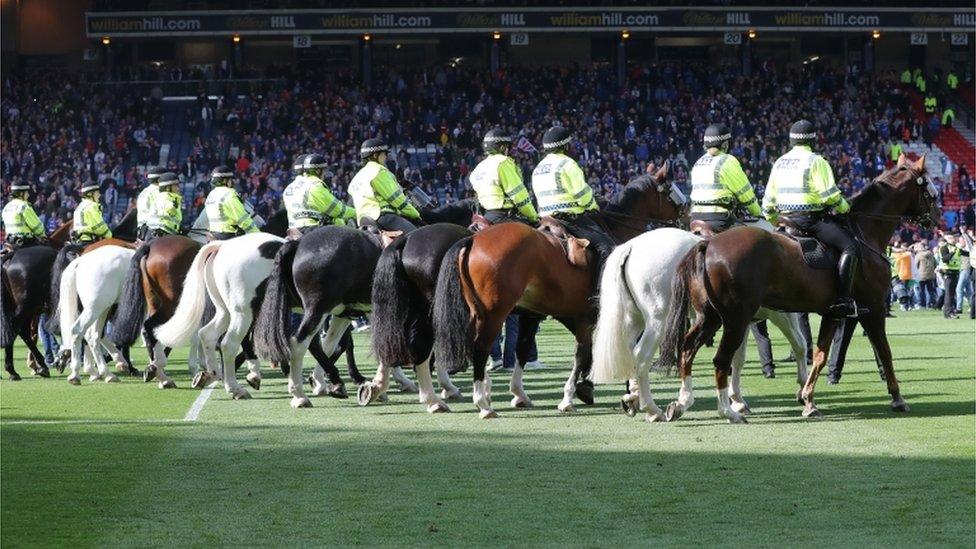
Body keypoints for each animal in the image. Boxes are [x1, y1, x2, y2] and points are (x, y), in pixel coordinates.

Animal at [254, 197, 478, 406]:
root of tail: (298, 243)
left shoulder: (349, 313)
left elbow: (340, 344)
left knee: (317, 344)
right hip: (317, 309)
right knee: (299, 343)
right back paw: (299, 394)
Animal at [428, 162, 688, 416]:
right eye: (672, 191)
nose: (686, 218)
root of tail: (472, 239)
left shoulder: (543, 315)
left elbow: (529, 350)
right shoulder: (587, 318)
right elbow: (583, 354)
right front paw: (572, 396)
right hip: (493, 314)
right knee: (478, 347)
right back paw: (480, 401)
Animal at [588, 225, 808, 422]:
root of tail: (631, 246)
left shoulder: (740, 322)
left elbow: (738, 359)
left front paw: (737, 400)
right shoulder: (780, 316)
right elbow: (800, 345)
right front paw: (804, 389)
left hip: (634, 319)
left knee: (630, 353)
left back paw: (633, 396)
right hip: (659, 322)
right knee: (641, 357)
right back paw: (652, 409)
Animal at [660, 156, 940, 422]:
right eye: (930, 191)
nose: (936, 218)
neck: (863, 234)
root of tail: (707, 243)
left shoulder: (833, 312)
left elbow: (820, 355)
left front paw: (808, 400)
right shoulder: (874, 309)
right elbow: (885, 351)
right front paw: (897, 398)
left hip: (710, 317)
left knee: (687, 350)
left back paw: (682, 402)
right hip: (735, 319)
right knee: (721, 360)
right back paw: (728, 411)